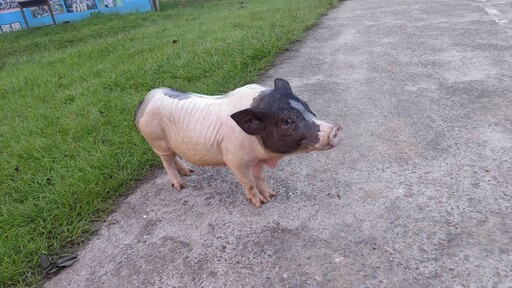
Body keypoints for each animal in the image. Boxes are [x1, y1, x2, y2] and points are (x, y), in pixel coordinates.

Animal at [135, 78, 344, 207]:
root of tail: (144, 101)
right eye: (286, 121)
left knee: (174, 157)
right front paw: (260, 204)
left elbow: (260, 178)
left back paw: (189, 172)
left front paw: (272, 195)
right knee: (167, 162)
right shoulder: (234, 160)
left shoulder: (259, 159)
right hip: (156, 140)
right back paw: (181, 186)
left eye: (306, 106)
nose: (336, 130)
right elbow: (249, 182)